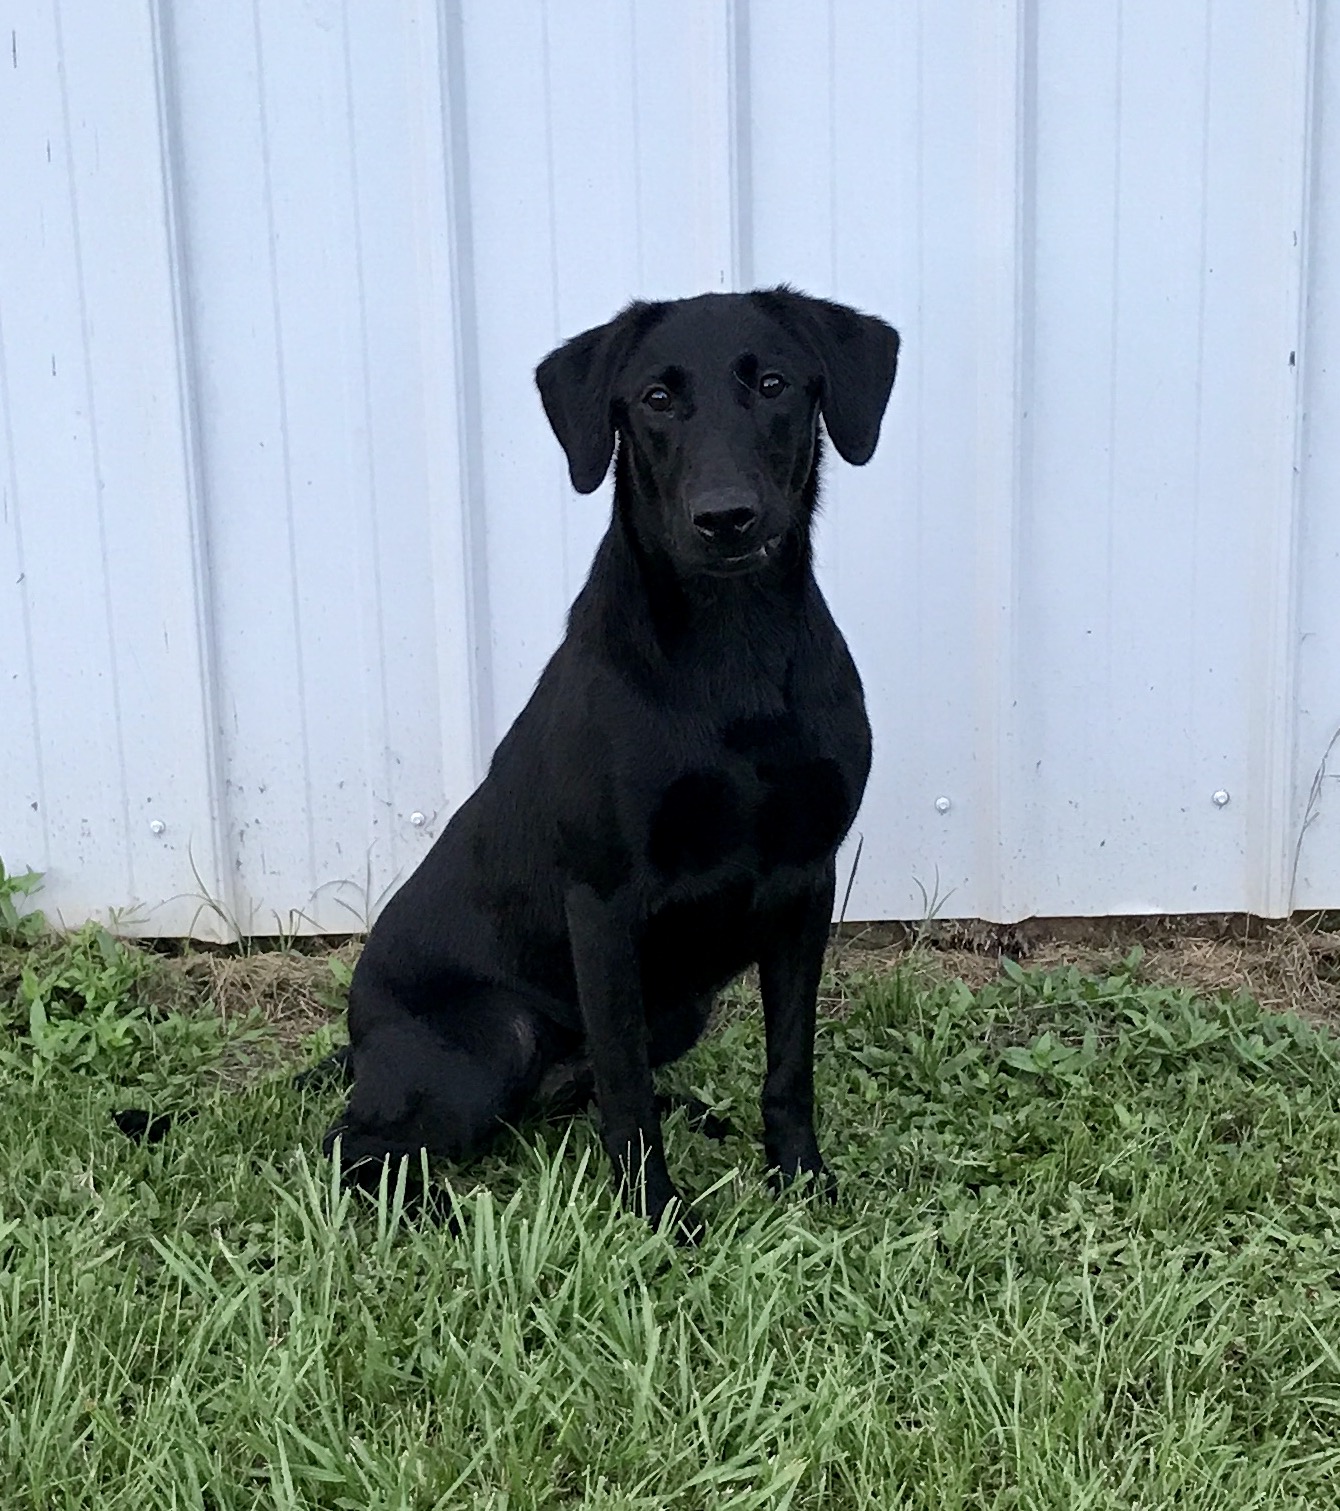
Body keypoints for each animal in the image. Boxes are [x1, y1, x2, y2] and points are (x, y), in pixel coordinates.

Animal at [320, 288, 894, 1232]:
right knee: (354, 1143)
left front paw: (802, 1181)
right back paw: (441, 1214)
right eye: (655, 399)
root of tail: (358, 1037)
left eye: (773, 384)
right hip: (492, 1038)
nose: (725, 518)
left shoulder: (807, 884)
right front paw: (658, 1217)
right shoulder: (604, 903)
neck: (731, 653)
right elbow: (626, 1092)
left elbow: (789, 1065)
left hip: (677, 1009)